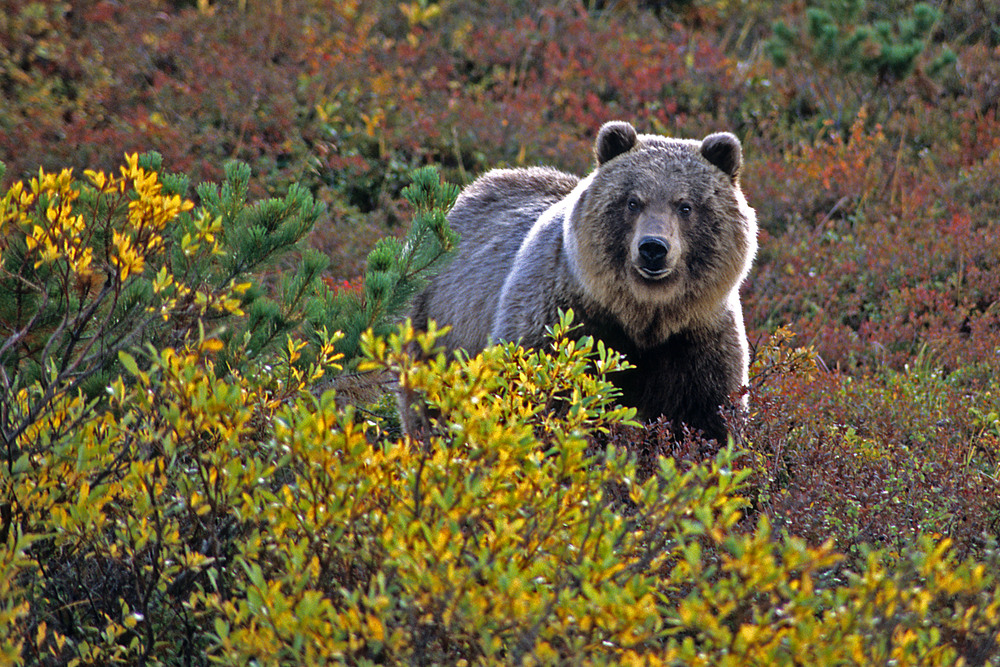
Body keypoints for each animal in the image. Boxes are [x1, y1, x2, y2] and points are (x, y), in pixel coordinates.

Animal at [406, 121, 756, 444]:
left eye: (685, 205)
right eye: (633, 201)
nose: (653, 248)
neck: (643, 316)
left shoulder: (697, 340)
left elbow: (708, 419)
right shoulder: (562, 320)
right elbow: (543, 399)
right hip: (436, 326)